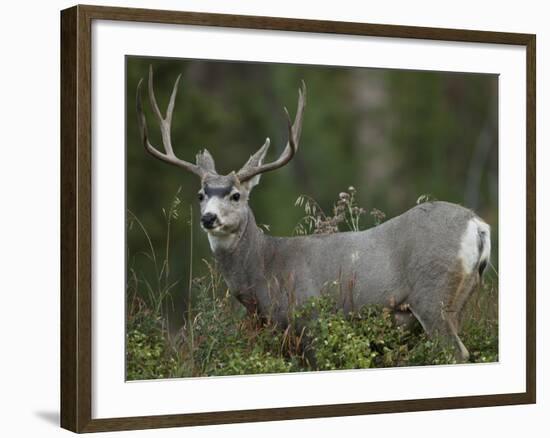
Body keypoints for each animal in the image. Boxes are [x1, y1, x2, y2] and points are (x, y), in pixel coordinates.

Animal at [137, 66, 492, 362]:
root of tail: (477, 224)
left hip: (432, 296)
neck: (265, 268)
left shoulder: (310, 319)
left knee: (459, 353)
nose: (208, 218)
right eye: (200, 195)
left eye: (236, 195)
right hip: (459, 297)